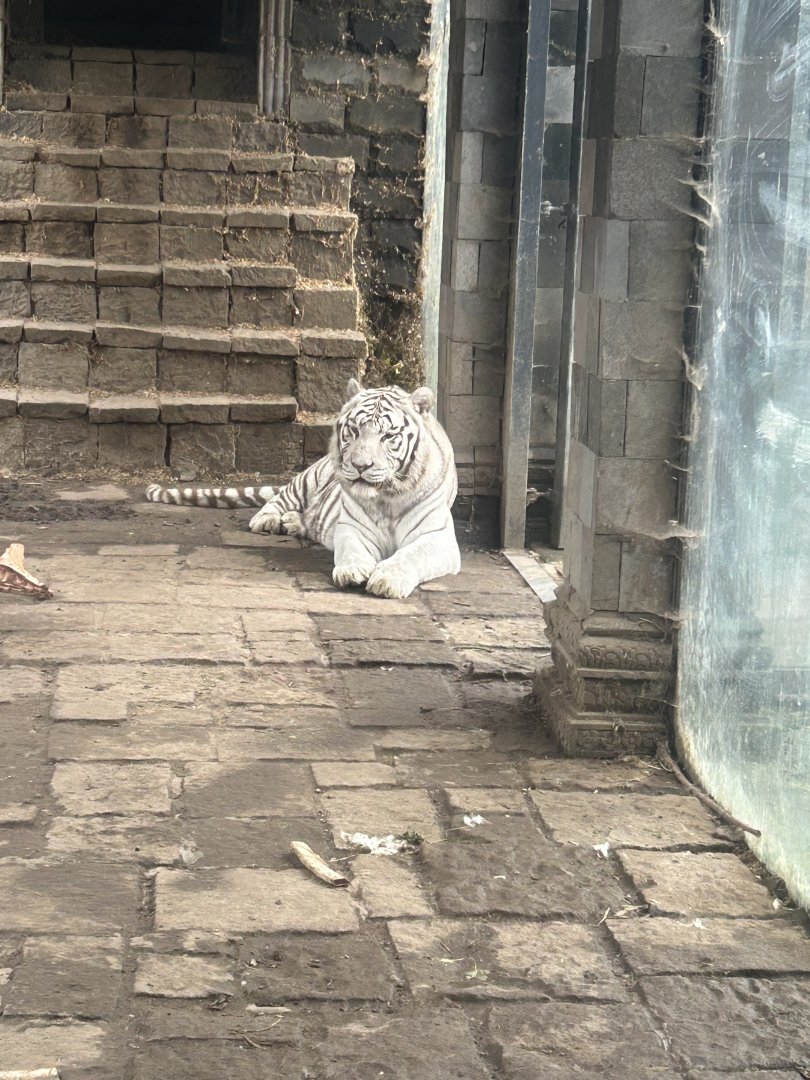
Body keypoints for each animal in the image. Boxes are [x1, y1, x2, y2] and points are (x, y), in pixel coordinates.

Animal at [146, 379, 461, 598]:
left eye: (388, 435)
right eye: (355, 430)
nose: (360, 465)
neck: (387, 497)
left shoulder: (437, 537)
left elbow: (411, 555)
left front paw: (387, 581)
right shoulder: (353, 528)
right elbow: (351, 550)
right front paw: (352, 572)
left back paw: (294, 523)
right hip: (308, 478)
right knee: (276, 502)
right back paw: (270, 521)